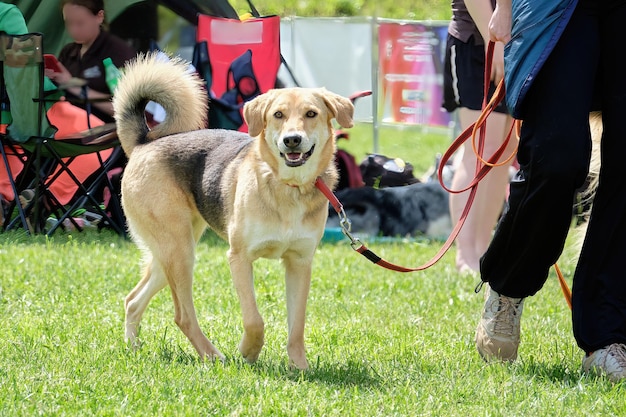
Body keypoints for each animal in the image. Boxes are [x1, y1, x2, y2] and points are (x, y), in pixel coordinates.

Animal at [112, 53, 354, 368]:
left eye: (311, 114)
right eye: (278, 115)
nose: (292, 140)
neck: (287, 187)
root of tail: (144, 143)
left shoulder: (299, 263)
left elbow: (297, 325)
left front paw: (299, 367)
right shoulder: (239, 258)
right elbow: (254, 320)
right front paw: (249, 351)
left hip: (170, 254)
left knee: (133, 300)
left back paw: (133, 348)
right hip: (179, 252)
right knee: (182, 316)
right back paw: (213, 356)